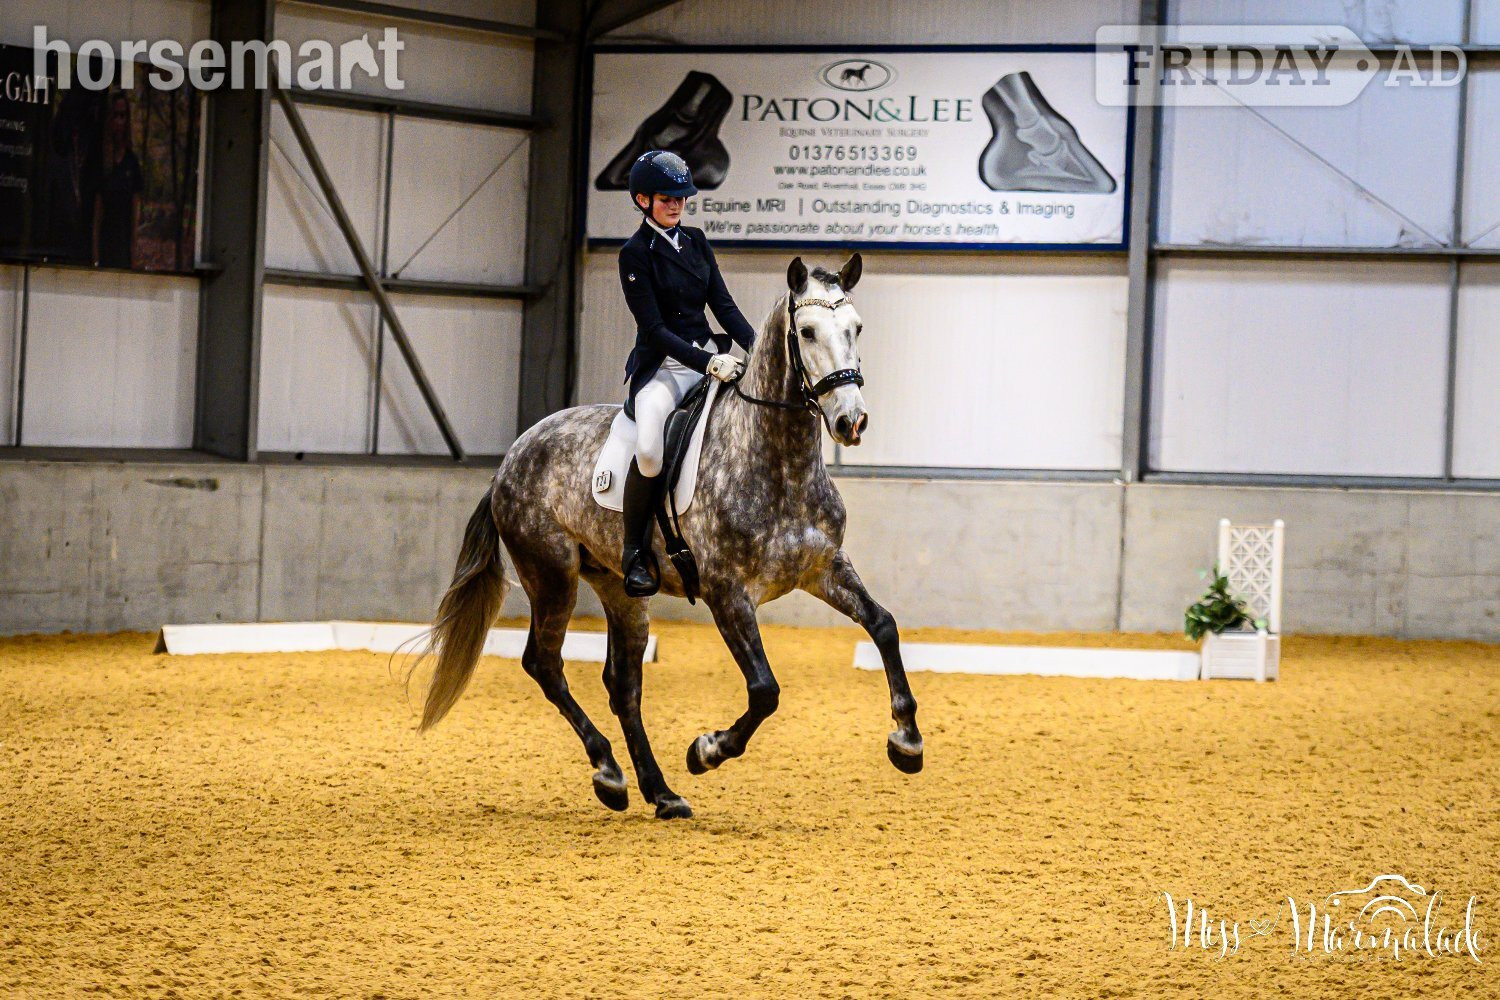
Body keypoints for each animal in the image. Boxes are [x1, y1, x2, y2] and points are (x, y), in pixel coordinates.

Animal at [412, 254, 923, 819]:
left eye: (857, 328)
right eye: (807, 332)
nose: (851, 420)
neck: (776, 460)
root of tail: (511, 456)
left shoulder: (825, 567)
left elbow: (884, 625)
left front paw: (907, 742)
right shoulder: (727, 593)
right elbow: (765, 689)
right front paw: (707, 750)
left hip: (618, 589)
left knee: (623, 687)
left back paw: (659, 792)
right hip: (551, 576)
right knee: (544, 664)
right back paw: (609, 772)